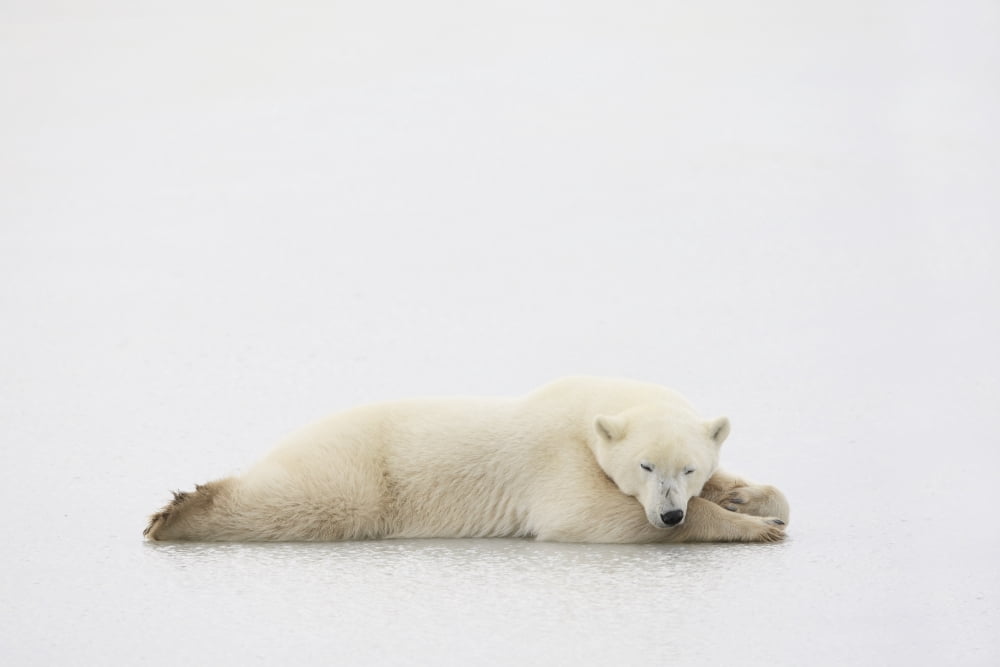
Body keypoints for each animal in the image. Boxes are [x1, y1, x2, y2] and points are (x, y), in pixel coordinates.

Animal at [144, 377, 789, 543]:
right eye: (644, 467)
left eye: (689, 468)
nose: (671, 514)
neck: (591, 406)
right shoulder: (557, 456)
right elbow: (584, 515)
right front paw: (755, 528)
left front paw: (752, 499)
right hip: (359, 469)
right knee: (310, 505)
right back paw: (180, 513)